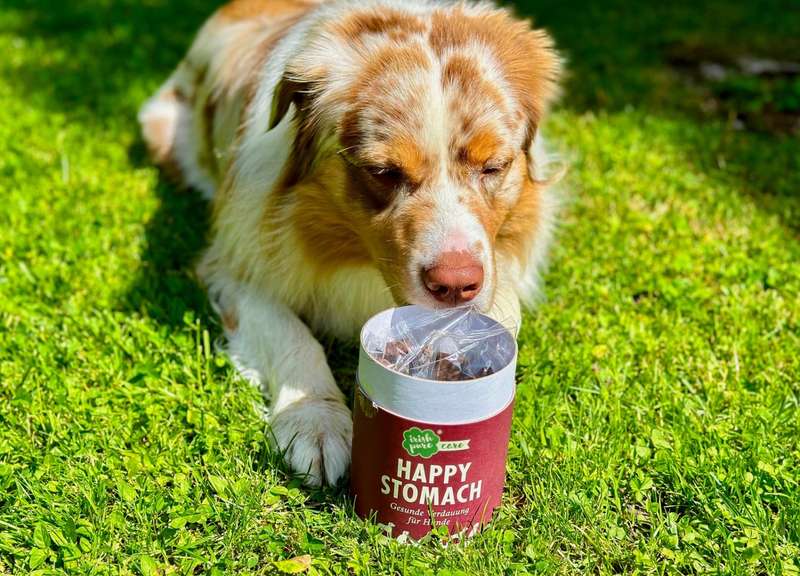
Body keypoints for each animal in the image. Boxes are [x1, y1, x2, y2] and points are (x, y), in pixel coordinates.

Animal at [139, 0, 564, 486]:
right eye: (383, 172)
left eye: (494, 166)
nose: (455, 284)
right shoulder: (232, 265)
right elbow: (290, 333)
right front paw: (315, 420)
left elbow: (502, 311)